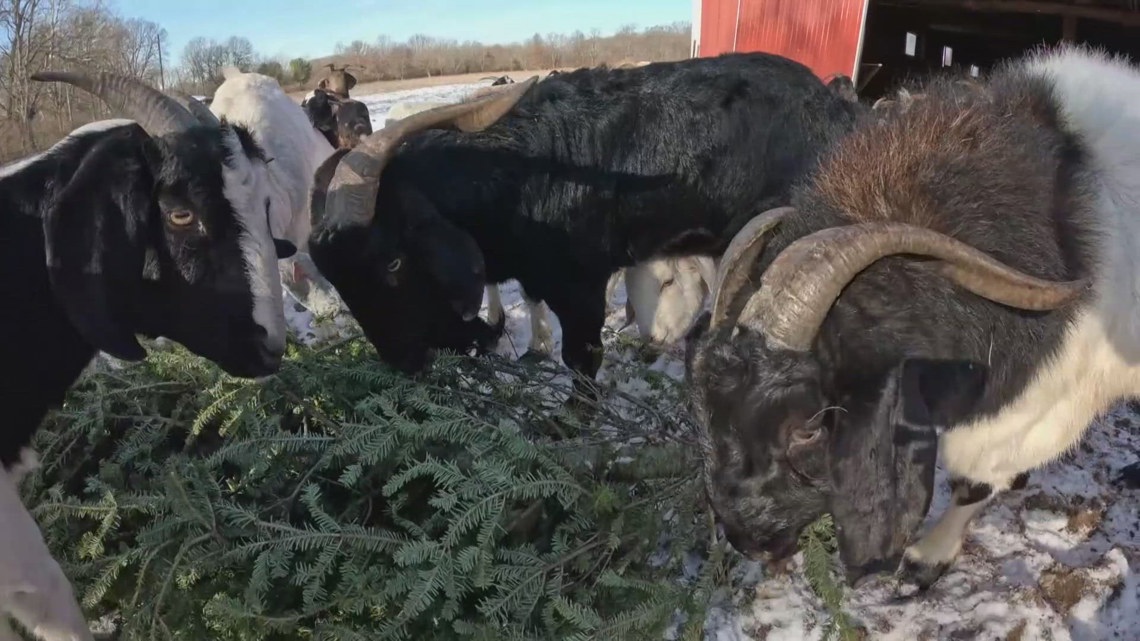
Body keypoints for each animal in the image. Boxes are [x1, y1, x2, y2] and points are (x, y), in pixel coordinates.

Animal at [306, 51, 868, 400]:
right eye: (340, 281)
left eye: (393, 262)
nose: (404, 363)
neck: (518, 175)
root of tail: (836, 108)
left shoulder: (580, 285)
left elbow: (583, 357)